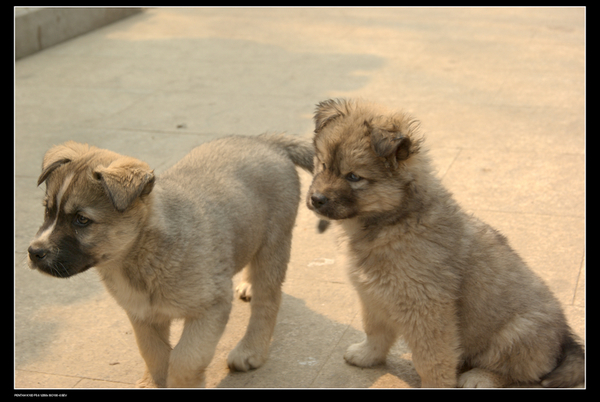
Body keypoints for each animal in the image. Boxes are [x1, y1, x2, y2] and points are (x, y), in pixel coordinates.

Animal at [29, 133, 314, 388]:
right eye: (48, 210)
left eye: (81, 220)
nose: (34, 252)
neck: (142, 255)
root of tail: (267, 141)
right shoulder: (143, 315)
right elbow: (154, 354)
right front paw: (153, 383)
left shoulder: (210, 308)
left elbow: (185, 359)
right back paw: (248, 285)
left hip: (274, 243)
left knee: (268, 300)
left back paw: (251, 350)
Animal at [308, 99, 584, 388]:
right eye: (323, 165)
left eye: (353, 177)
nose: (316, 199)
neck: (394, 221)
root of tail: (566, 341)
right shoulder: (372, 296)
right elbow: (375, 331)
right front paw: (367, 355)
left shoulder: (426, 307)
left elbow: (432, 359)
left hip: (518, 333)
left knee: (515, 371)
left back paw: (479, 377)